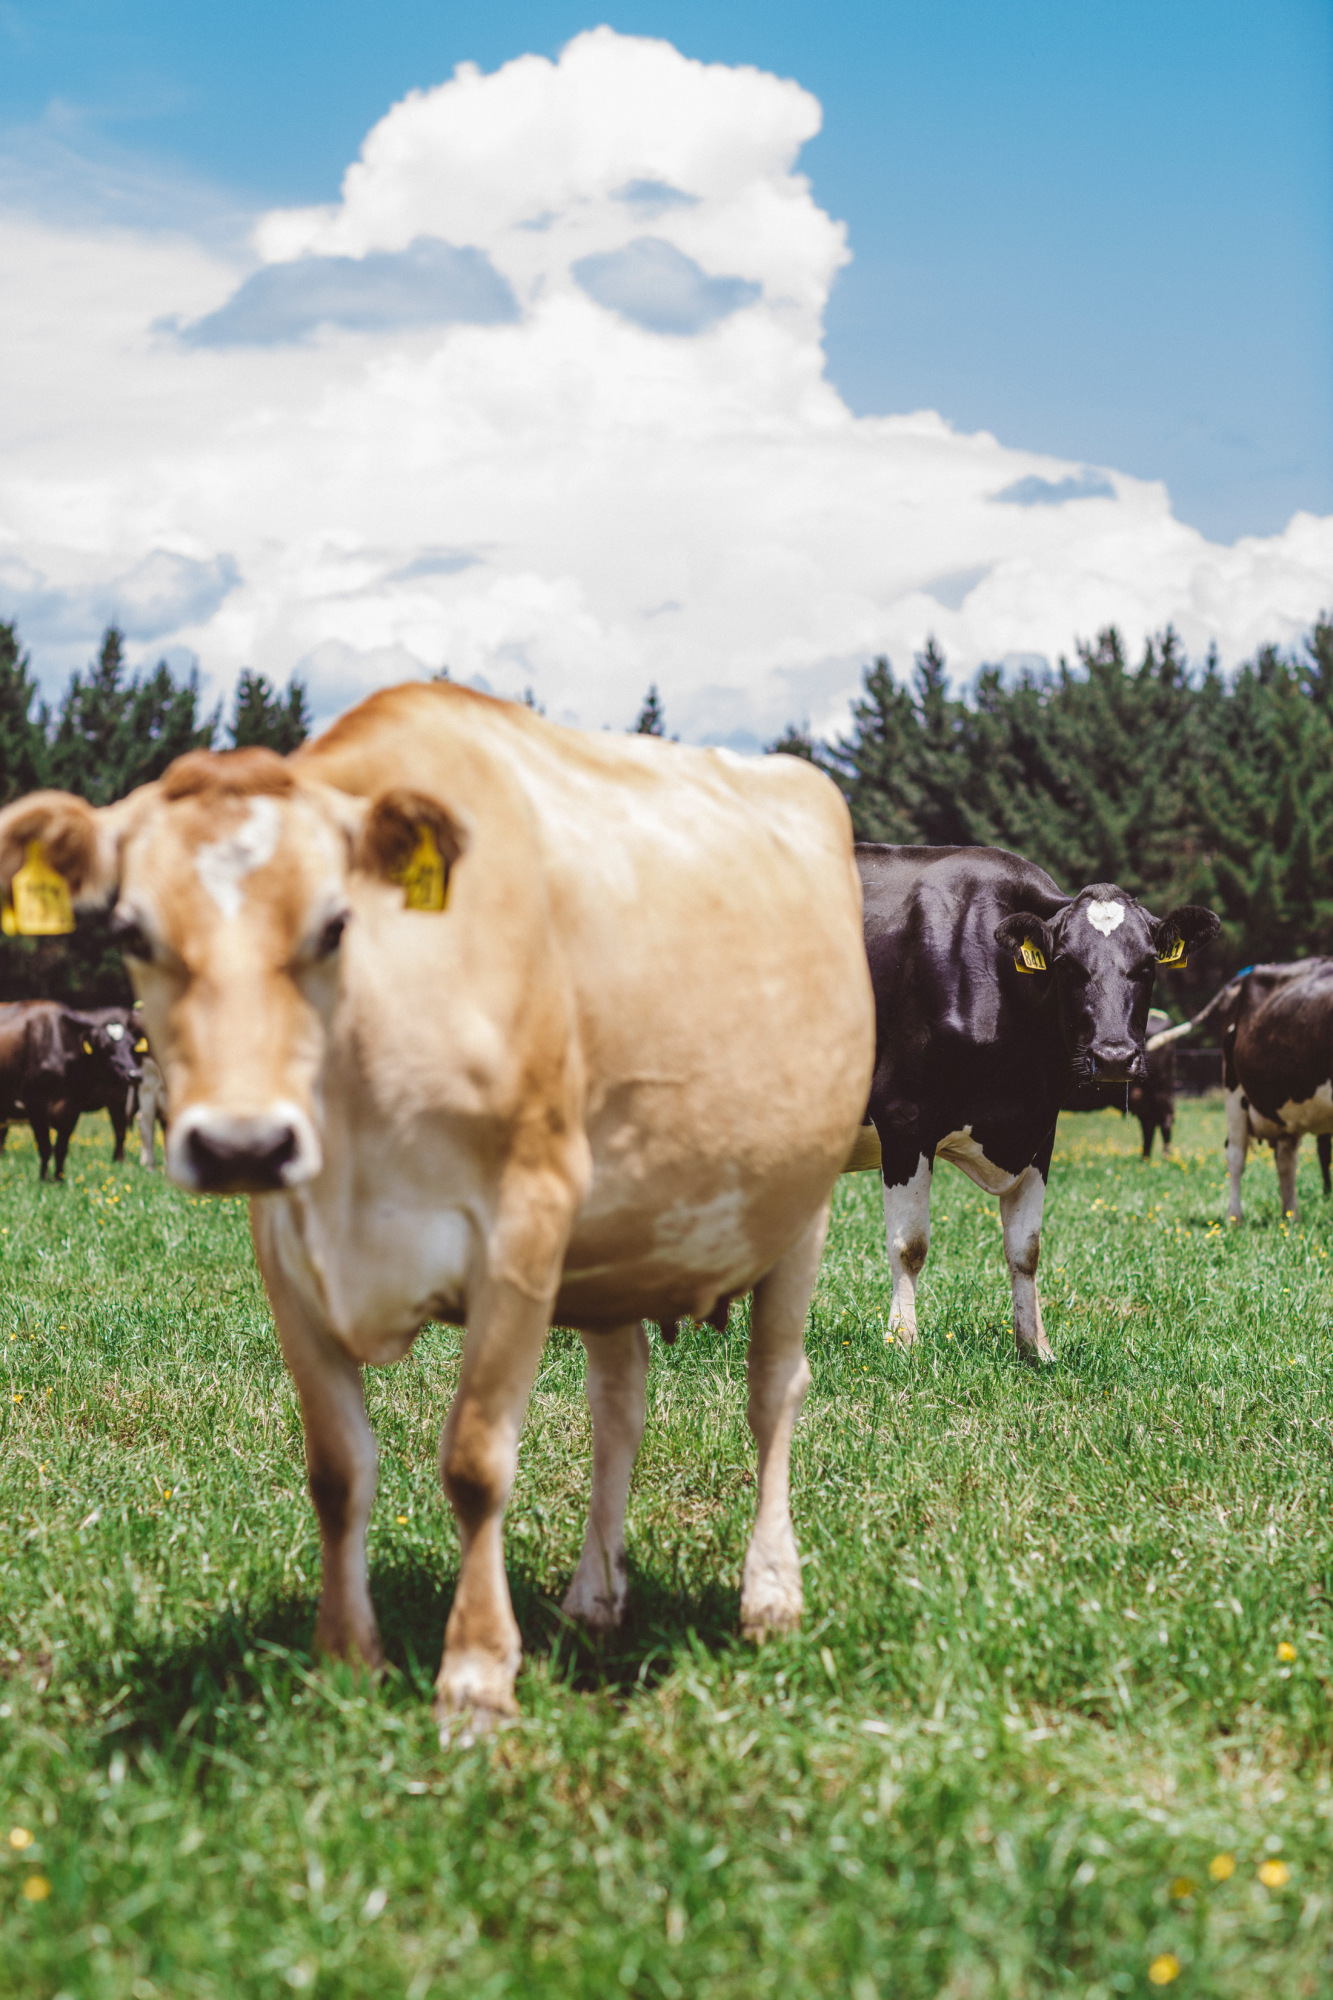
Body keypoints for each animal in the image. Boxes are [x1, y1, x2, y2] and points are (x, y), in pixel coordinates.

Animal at [0, 1000, 142, 1179]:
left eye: (132, 1046)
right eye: (104, 1047)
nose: (134, 1074)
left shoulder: (72, 1108)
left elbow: (61, 1148)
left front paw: (59, 1179)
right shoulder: (35, 1105)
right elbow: (45, 1147)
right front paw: (44, 1179)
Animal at [853, 846, 1219, 1362]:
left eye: (1147, 965)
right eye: (1066, 963)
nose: (1113, 1055)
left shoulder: (1039, 1131)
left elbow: (1025, 1250)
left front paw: (1034, 1347)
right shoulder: (903, 1117)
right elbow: (909, 1245)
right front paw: (904, 1341)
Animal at [1148, 959, 1333, 1222]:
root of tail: (1244, 975)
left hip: (1284, 1110)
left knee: (1286, 1161)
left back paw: (1291, 1216)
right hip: (1233, 1092)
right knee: (1236, 1155)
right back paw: (1234, 1216)